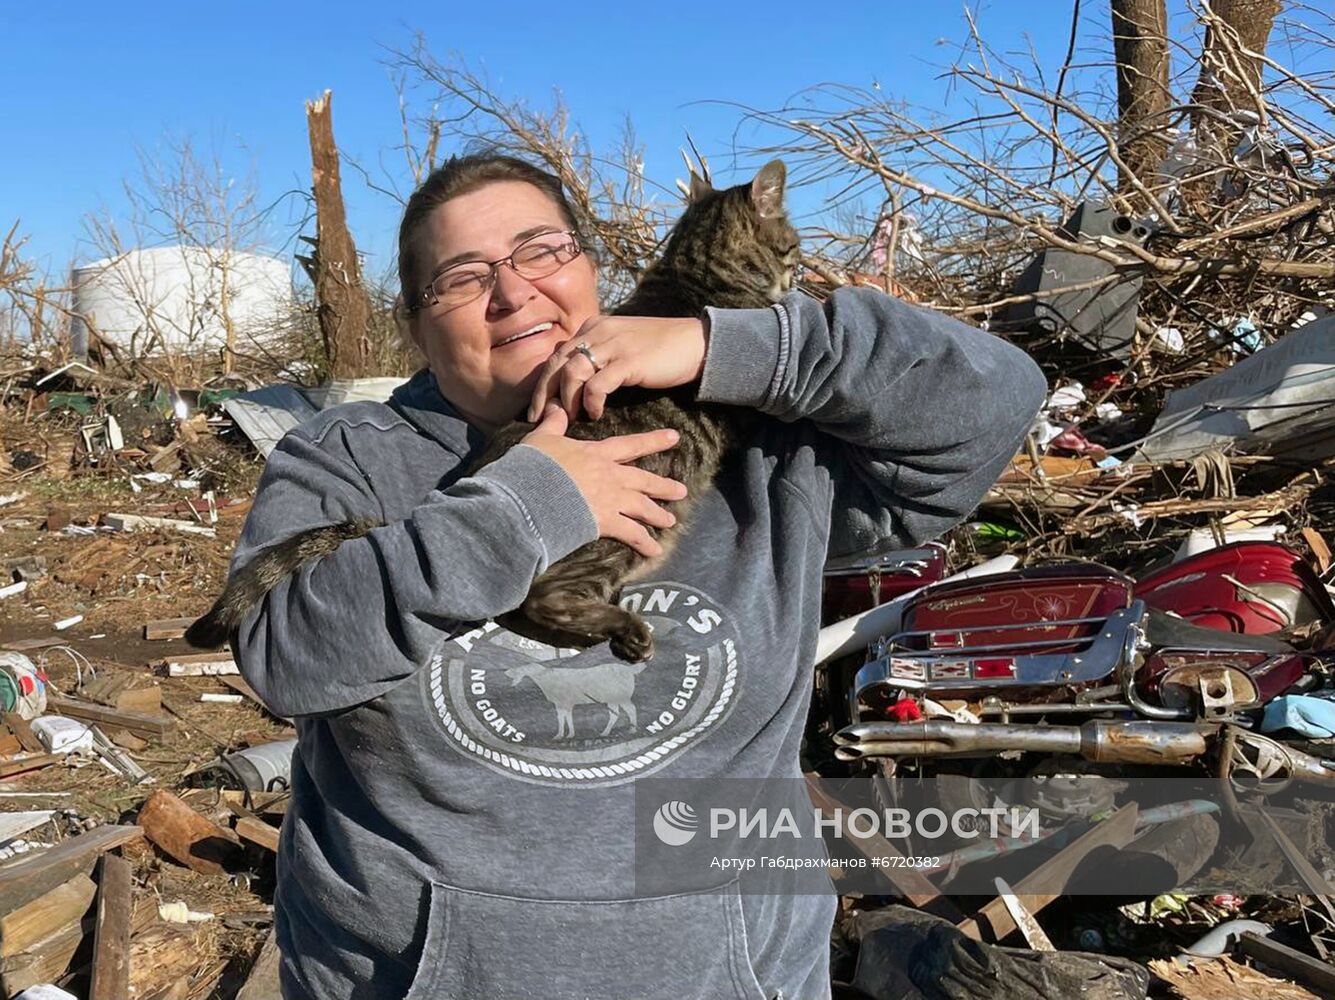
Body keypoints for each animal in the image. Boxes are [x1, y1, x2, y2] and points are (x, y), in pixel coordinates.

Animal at [184, 160, 795, 659]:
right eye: (793, 244)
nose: (797, 270)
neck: (694, 271)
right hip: (622, 533)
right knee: (540, 599)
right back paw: (624, 628)